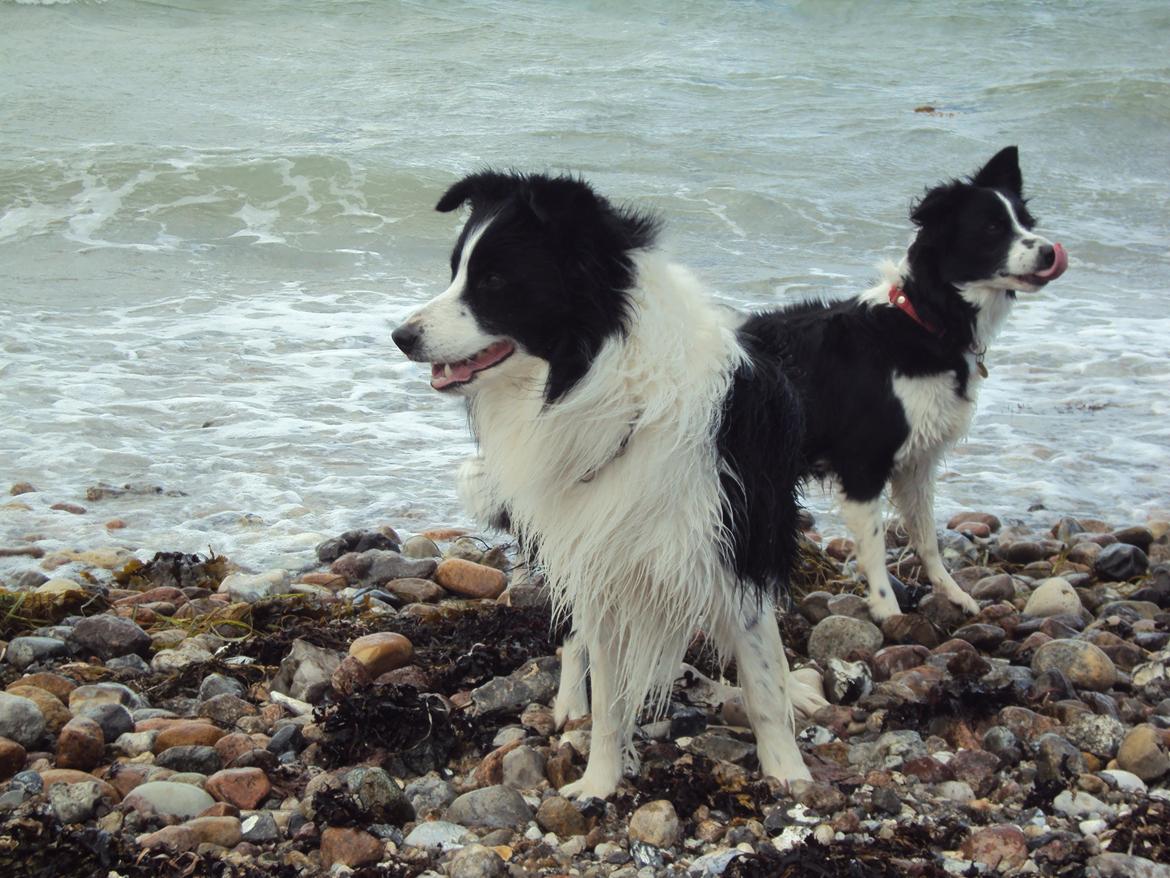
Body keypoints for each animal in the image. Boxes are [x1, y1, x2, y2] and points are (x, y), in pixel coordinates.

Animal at [393, 173, 814, 805]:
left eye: (493, 279)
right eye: (454, 272)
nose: (401, 336)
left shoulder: (739, 548)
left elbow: (763, 683)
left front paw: (789, 773)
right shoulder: (599, 560)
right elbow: (611, 702)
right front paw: (599, 781)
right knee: (573, 637)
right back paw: (570, 705)